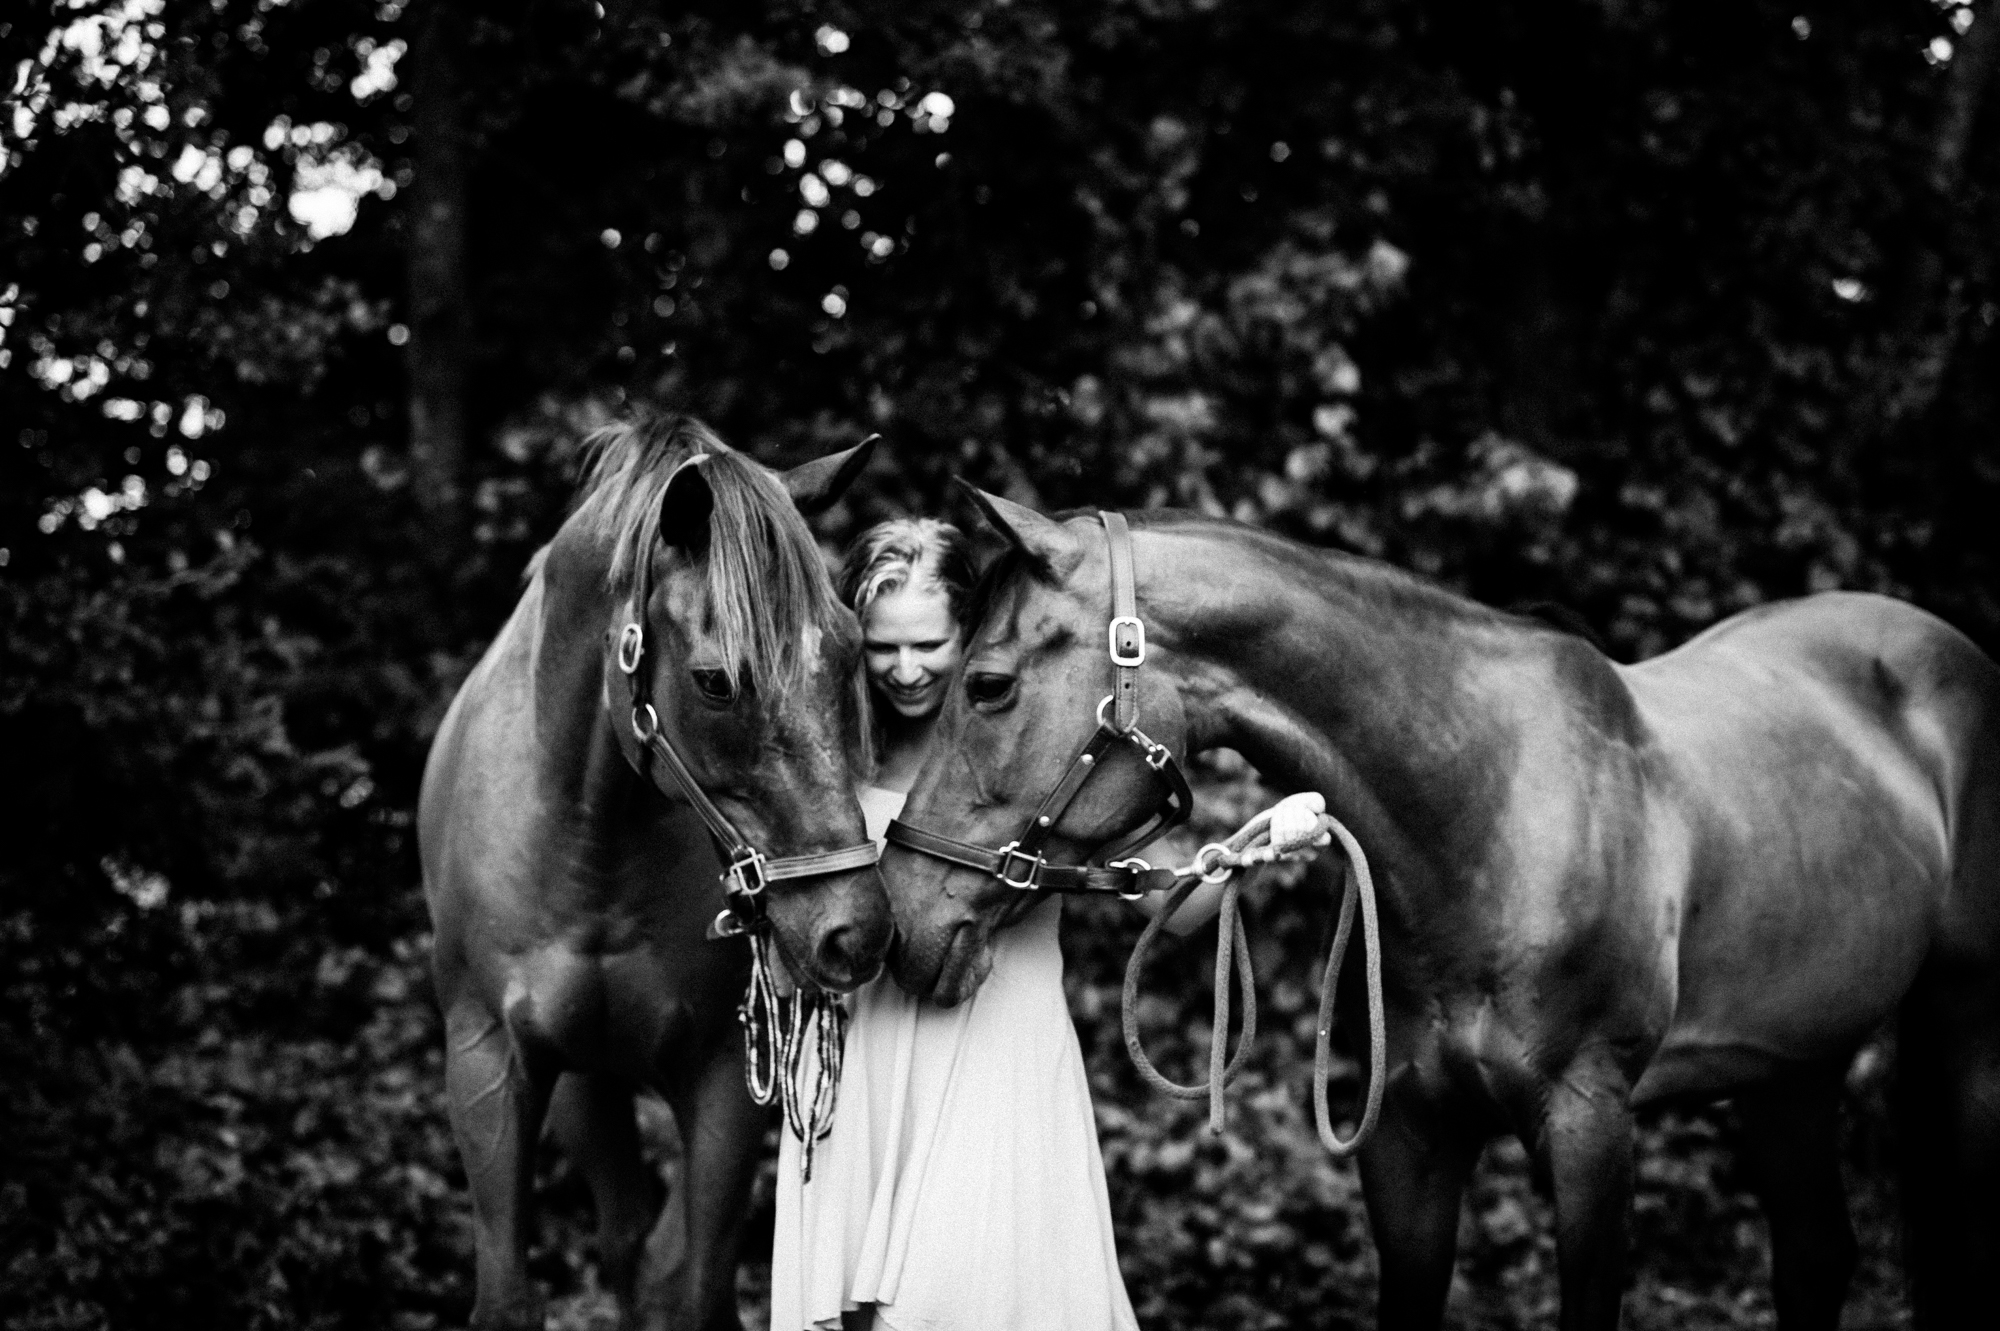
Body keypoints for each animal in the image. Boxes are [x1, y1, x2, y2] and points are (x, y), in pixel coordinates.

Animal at [416, 415, 892, 1327]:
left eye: (851, 650)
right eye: (715, 681)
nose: (855, 929)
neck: (591, 848)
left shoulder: (723, 1077)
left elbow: (690, 1284)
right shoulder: (489, 1065)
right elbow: (511, 1295)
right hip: (584, 1091)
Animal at [888, 487, 2000, 1327]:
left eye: (987, 684)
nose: (899, 918)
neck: (1488, 812)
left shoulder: (1591, 1129)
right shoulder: (1407, 1138)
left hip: (1958, 1031)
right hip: (1791, 1072)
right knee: (1814, 1254)